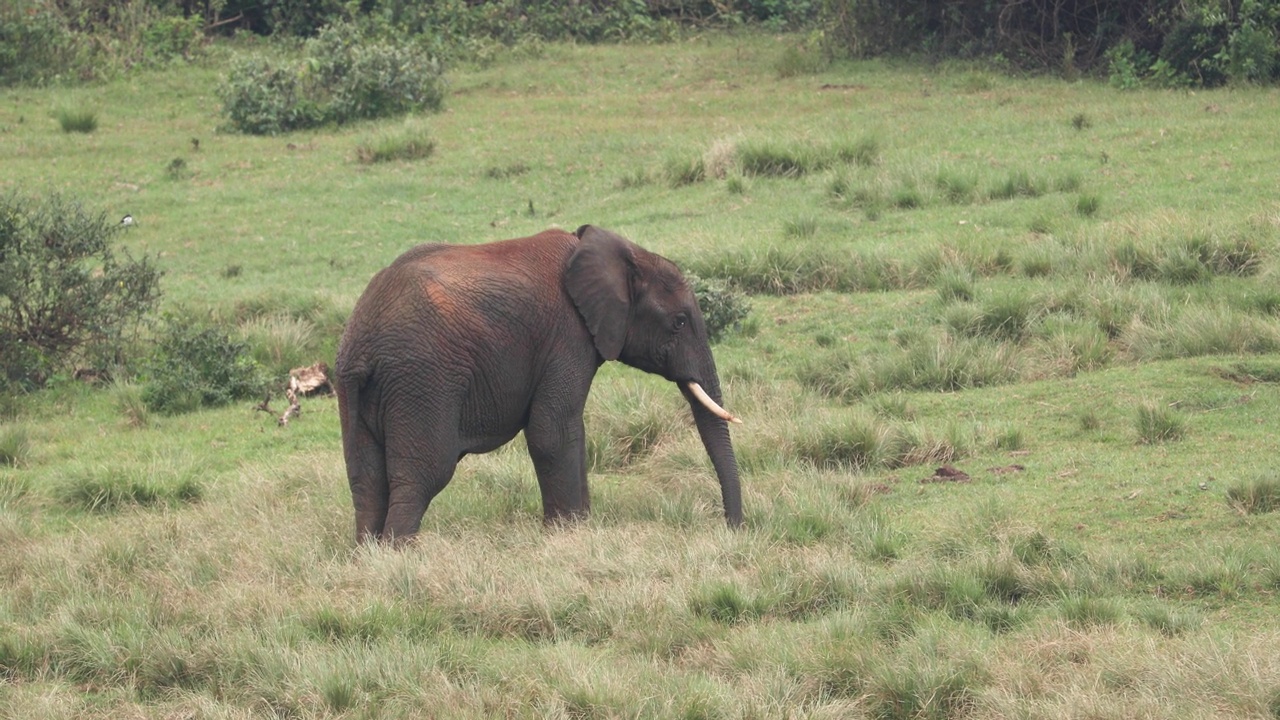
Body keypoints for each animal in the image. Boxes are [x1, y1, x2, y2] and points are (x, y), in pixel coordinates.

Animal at [335, 224, 747, 543]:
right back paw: (400, 555)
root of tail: (363, 342)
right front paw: (565, 535)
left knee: (366, 481)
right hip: (423, 381)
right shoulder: (567, 335)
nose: (733, 527)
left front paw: (578, 529)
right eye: (679, 322)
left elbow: (570, 431)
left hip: (355, 390)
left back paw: (368, 554)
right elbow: (552, 430)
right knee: (423, 476)